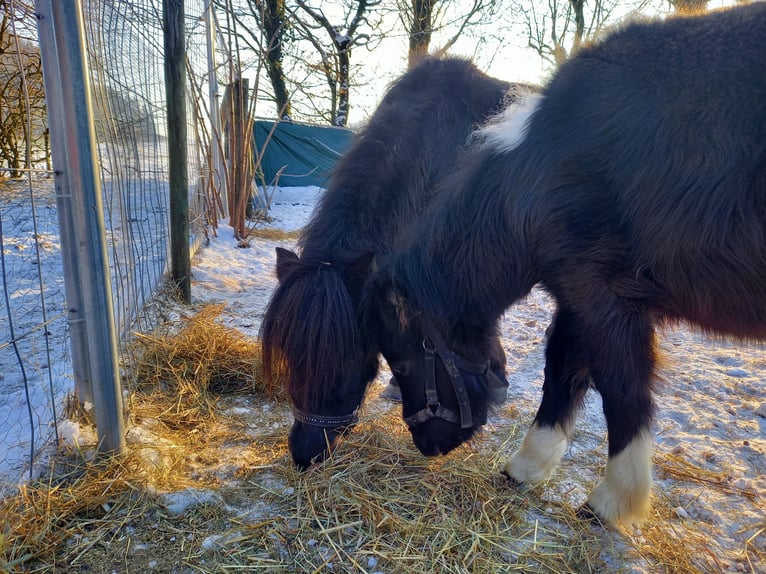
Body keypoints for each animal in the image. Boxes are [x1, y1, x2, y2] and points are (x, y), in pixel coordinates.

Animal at [361, 4, 766, 527]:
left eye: (406, 362)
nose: (428, 445)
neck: (539, 174)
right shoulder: (577, 295)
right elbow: (562, 371)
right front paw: (527, 467)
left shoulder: (607, 298)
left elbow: (622, 391)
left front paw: (612, 500)